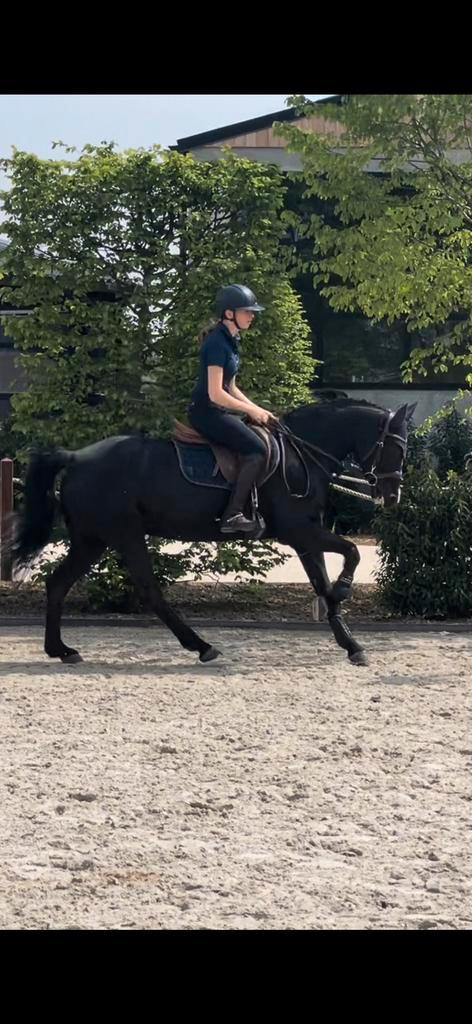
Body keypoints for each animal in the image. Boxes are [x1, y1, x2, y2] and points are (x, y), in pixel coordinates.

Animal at [13, 398, 415, 668]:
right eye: (396, 448)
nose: (392, 496)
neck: (302, 456)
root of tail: (77, 457)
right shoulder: (299, 531)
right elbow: (352, 553)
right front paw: (345, 591)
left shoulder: (306, 536)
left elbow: (322, 583)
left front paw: (351, 644)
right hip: (124, 535)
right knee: (149, 592)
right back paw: (202, 646)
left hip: (91, 540)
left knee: (58, 584)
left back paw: (61, 650)